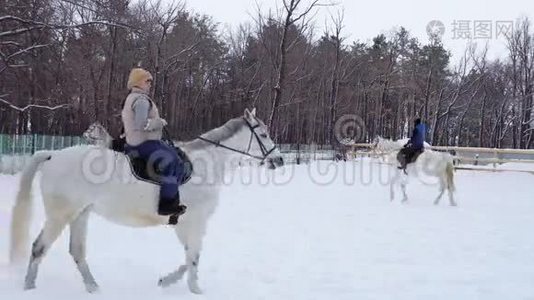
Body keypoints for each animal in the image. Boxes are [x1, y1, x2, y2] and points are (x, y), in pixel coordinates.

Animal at [8, 108, 284, 292]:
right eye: (263, 134)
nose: (279, 159)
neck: (206, 166)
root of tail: (52, 155)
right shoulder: (193, 222)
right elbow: (193, 257)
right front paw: (195, 290)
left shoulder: (184, 224)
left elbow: (189, 256)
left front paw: (166, 281)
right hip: (60, 215)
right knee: (39, 247)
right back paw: (29, 287)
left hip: (81, 214)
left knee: (76, 251)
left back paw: (93, 287)